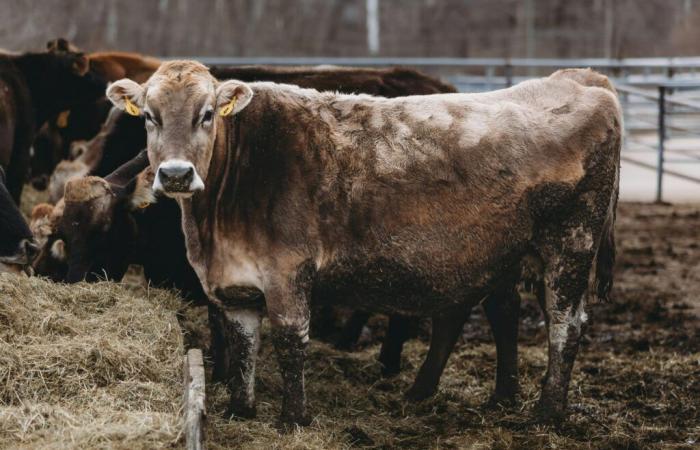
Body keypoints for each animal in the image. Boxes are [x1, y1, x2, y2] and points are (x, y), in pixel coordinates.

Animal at [106, 61, 620, 428]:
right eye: (149, 117)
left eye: (207, 114)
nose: (175, 174)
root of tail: (580, 78)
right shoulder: (234, 286)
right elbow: (243, 344)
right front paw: (240, 409)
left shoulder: (288, 273)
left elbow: (291, 340)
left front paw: (294, 418)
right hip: (508, 255)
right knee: (505, 313)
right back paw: (496, 398)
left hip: (571, 246)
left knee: (564, 324)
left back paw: (547, 413)